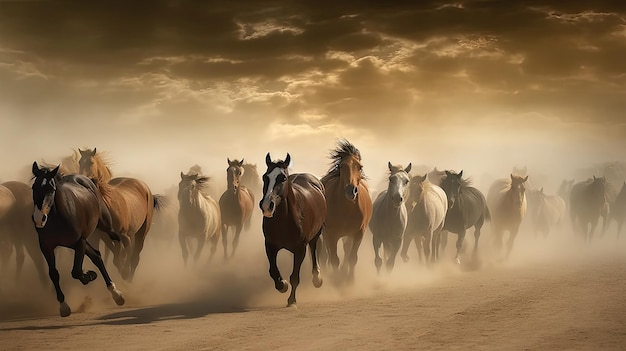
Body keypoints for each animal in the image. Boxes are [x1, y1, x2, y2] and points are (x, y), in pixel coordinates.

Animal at [31, 162, 125, 320]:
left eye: (51, 189)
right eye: (34, 187)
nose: (39, 219)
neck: (57, 217)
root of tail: (86, 179)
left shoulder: (79, 241)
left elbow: (75, 271)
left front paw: (89, 276)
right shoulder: (46, 247)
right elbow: (54, 274)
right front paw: (64, 306)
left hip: (104, 224)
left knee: (115, 238)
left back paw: (122, 270)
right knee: (97, 256)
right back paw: (115, 293)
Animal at [78, 148, 162, 284]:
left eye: (91, 162)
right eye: (79, 162)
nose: (80, 180)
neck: (108, 205)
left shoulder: (125, 237)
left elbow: (125, 256)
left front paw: (125, 274)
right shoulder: (105, 238)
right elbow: (117, 259)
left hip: (142, 232)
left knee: (135, 257)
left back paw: (129, 278)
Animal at [320, 139, 372, 282]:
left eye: (360, 167)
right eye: (342, 166)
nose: (350, 190)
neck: (347, 209)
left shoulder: (359, 234)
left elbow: (352, 258)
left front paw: (349, 280)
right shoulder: (331, 235)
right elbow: (334, 259)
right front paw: (336, 280)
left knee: (347, 250)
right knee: (326, 254)